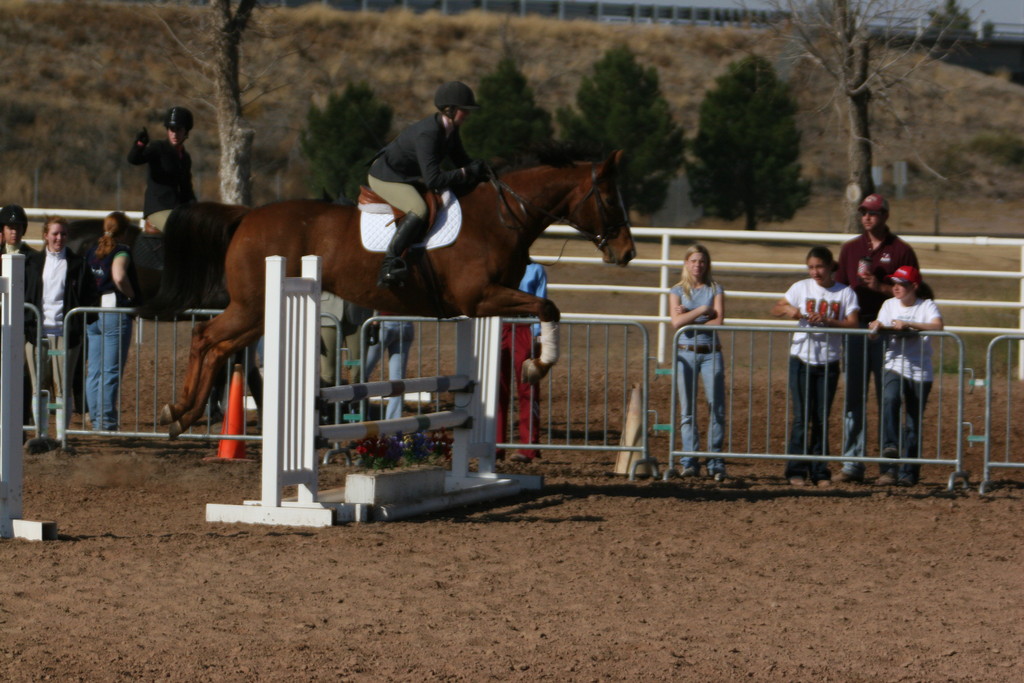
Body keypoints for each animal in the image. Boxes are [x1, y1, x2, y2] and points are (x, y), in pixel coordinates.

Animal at [140, 148, 634, 438]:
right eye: (611, 199)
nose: (627, 252)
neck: (501, 215)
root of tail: (245, 216)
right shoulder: (480, 298)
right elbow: (548, 306)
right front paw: (536, 366)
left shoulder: (493, 299)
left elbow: (544, 307)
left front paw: (532, 364)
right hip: (253, 306)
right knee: (205, 338)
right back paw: (178, 412)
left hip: (256, 313)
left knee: (215, 346)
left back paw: (180, 414)